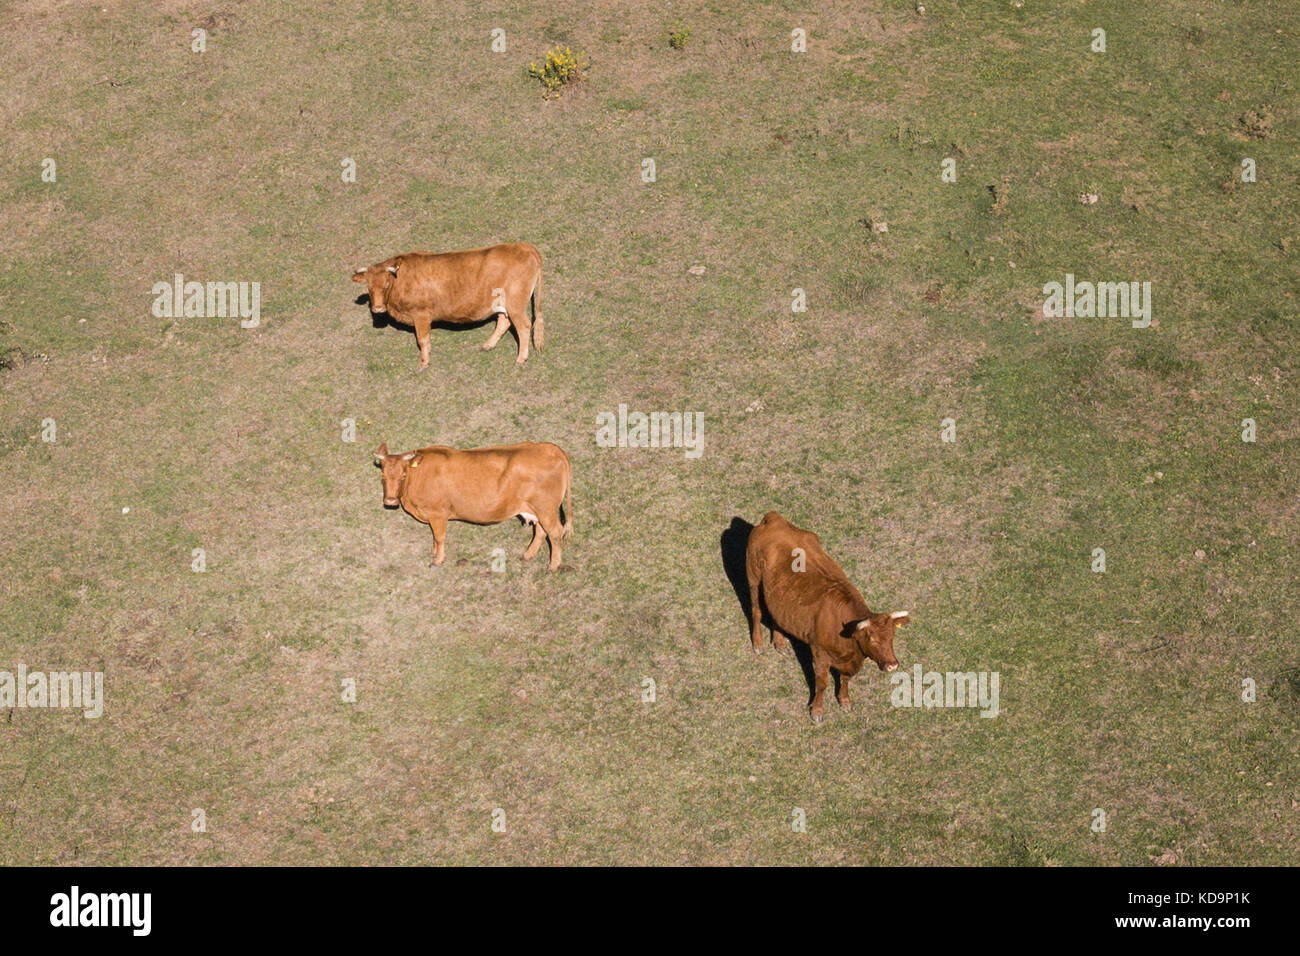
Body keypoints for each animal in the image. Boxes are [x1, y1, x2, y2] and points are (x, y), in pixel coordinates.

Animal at [352, 242, 544, 369]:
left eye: (386, 284)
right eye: (369, 286)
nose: (378, 308)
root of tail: (522, 246)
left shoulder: (421, 315)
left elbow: (422, 340)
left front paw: (424, 362)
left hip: (515, 303)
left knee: (524, 326)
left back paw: (521, 358)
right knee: (504, 321)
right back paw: (488, 345)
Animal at [373, 441, 573, 571]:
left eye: (403, 475)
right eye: (383, 476)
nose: (390, 501)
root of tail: (550, 448)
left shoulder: (438, 514)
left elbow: (439, 537)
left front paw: (438, 560)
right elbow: (434, 538)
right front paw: (433, 552)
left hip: (546, 509)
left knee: (555, 532)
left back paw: (553, 565)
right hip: (538, 510)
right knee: (541, 531)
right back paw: (528, 555)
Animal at [745, 511, 909, 723]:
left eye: (892, 637)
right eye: (872, 639)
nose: (892, 665)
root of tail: (774, 519)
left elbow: (846, 679)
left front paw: (845, 700)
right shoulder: (820, 654)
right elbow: (822, 683)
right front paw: (817, 711)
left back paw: (780, 642)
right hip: (753, 578)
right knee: (756, 611)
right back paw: (758, 644)